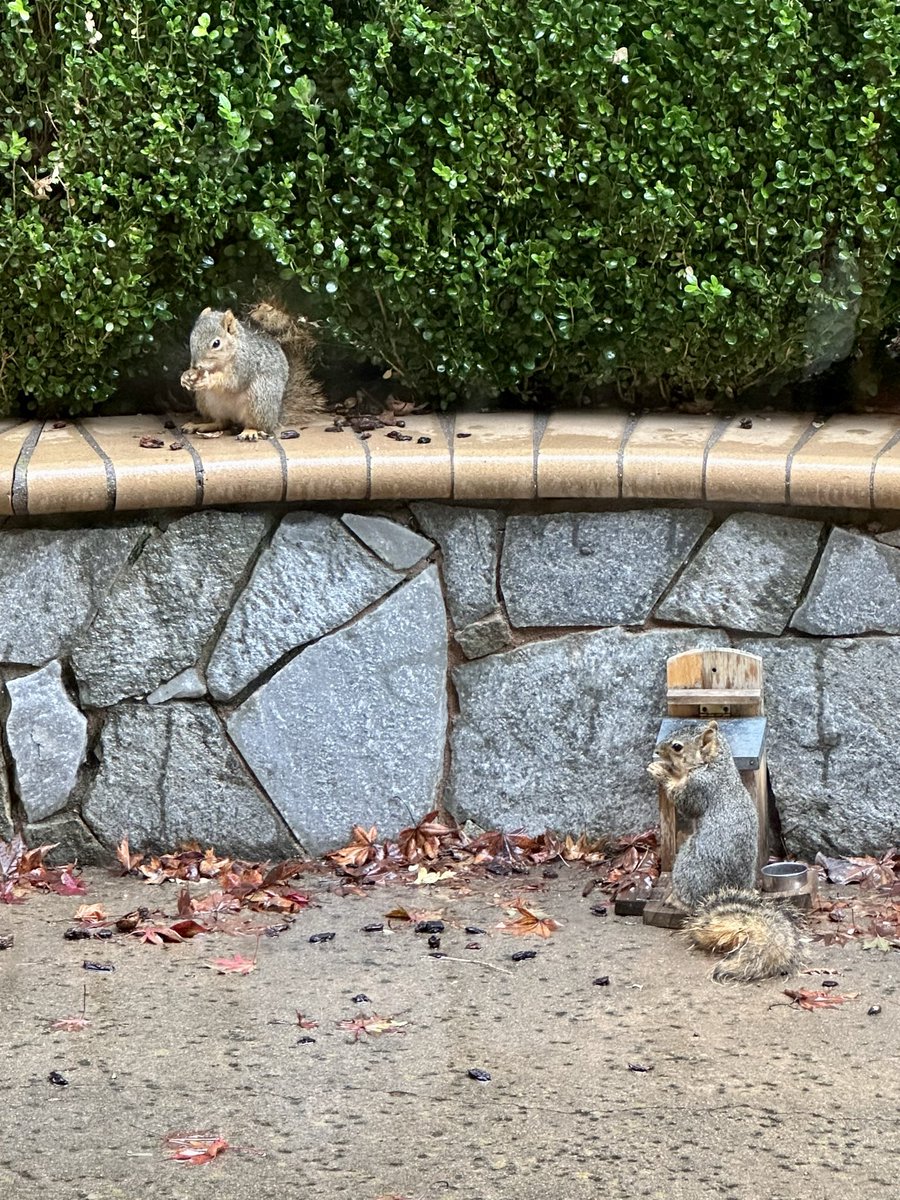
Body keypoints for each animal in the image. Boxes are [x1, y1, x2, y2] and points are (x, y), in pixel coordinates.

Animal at [180, 301, 323, 441]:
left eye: (216, 343)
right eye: (192, 338)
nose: (195, 366)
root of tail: (276, 416)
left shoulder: (245, 365)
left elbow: (232, 382)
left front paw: (208, 379)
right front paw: (186, 376)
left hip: (259, 398)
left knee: (256, 425)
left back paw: (249, 431)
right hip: (206, 401)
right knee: (221, 423)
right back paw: (201, 425)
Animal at [647, 719, 802, 983]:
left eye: (677, 747)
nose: (657, 750)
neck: (715, 765)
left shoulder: (700, 788)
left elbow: (684, 801)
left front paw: (660, 771)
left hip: (686, 866)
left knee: (688, 902)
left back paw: (676, 900)